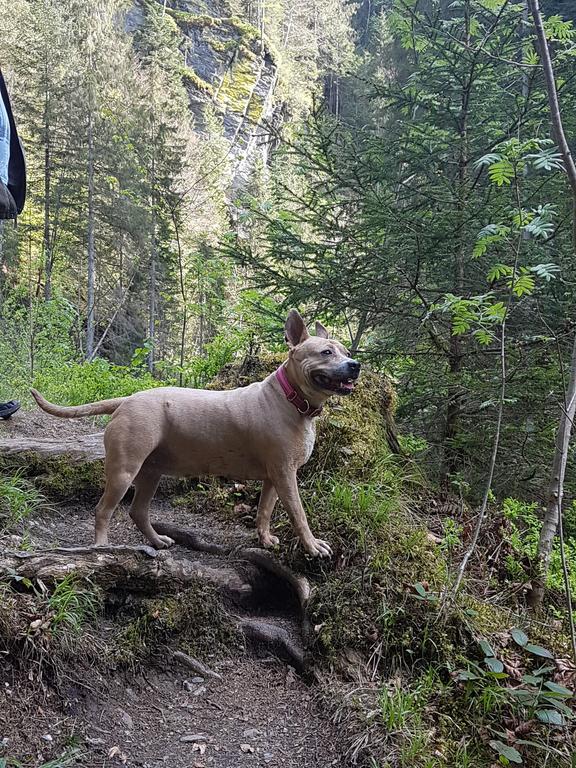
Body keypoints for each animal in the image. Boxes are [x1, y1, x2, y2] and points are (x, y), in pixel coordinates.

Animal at [31, 312, 360, 560]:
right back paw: (101, 548)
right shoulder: (285, 475)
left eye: (346, 352)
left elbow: (264, 511)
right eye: (326, 352)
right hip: (124, 471)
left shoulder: (274, 478)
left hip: (151, 472)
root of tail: (127, 400)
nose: (356, 365)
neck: (292, 399)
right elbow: (299, 514)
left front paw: (265, 539)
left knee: (138, 511)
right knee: (103, 510)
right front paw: (313, 546)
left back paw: (157, 541)